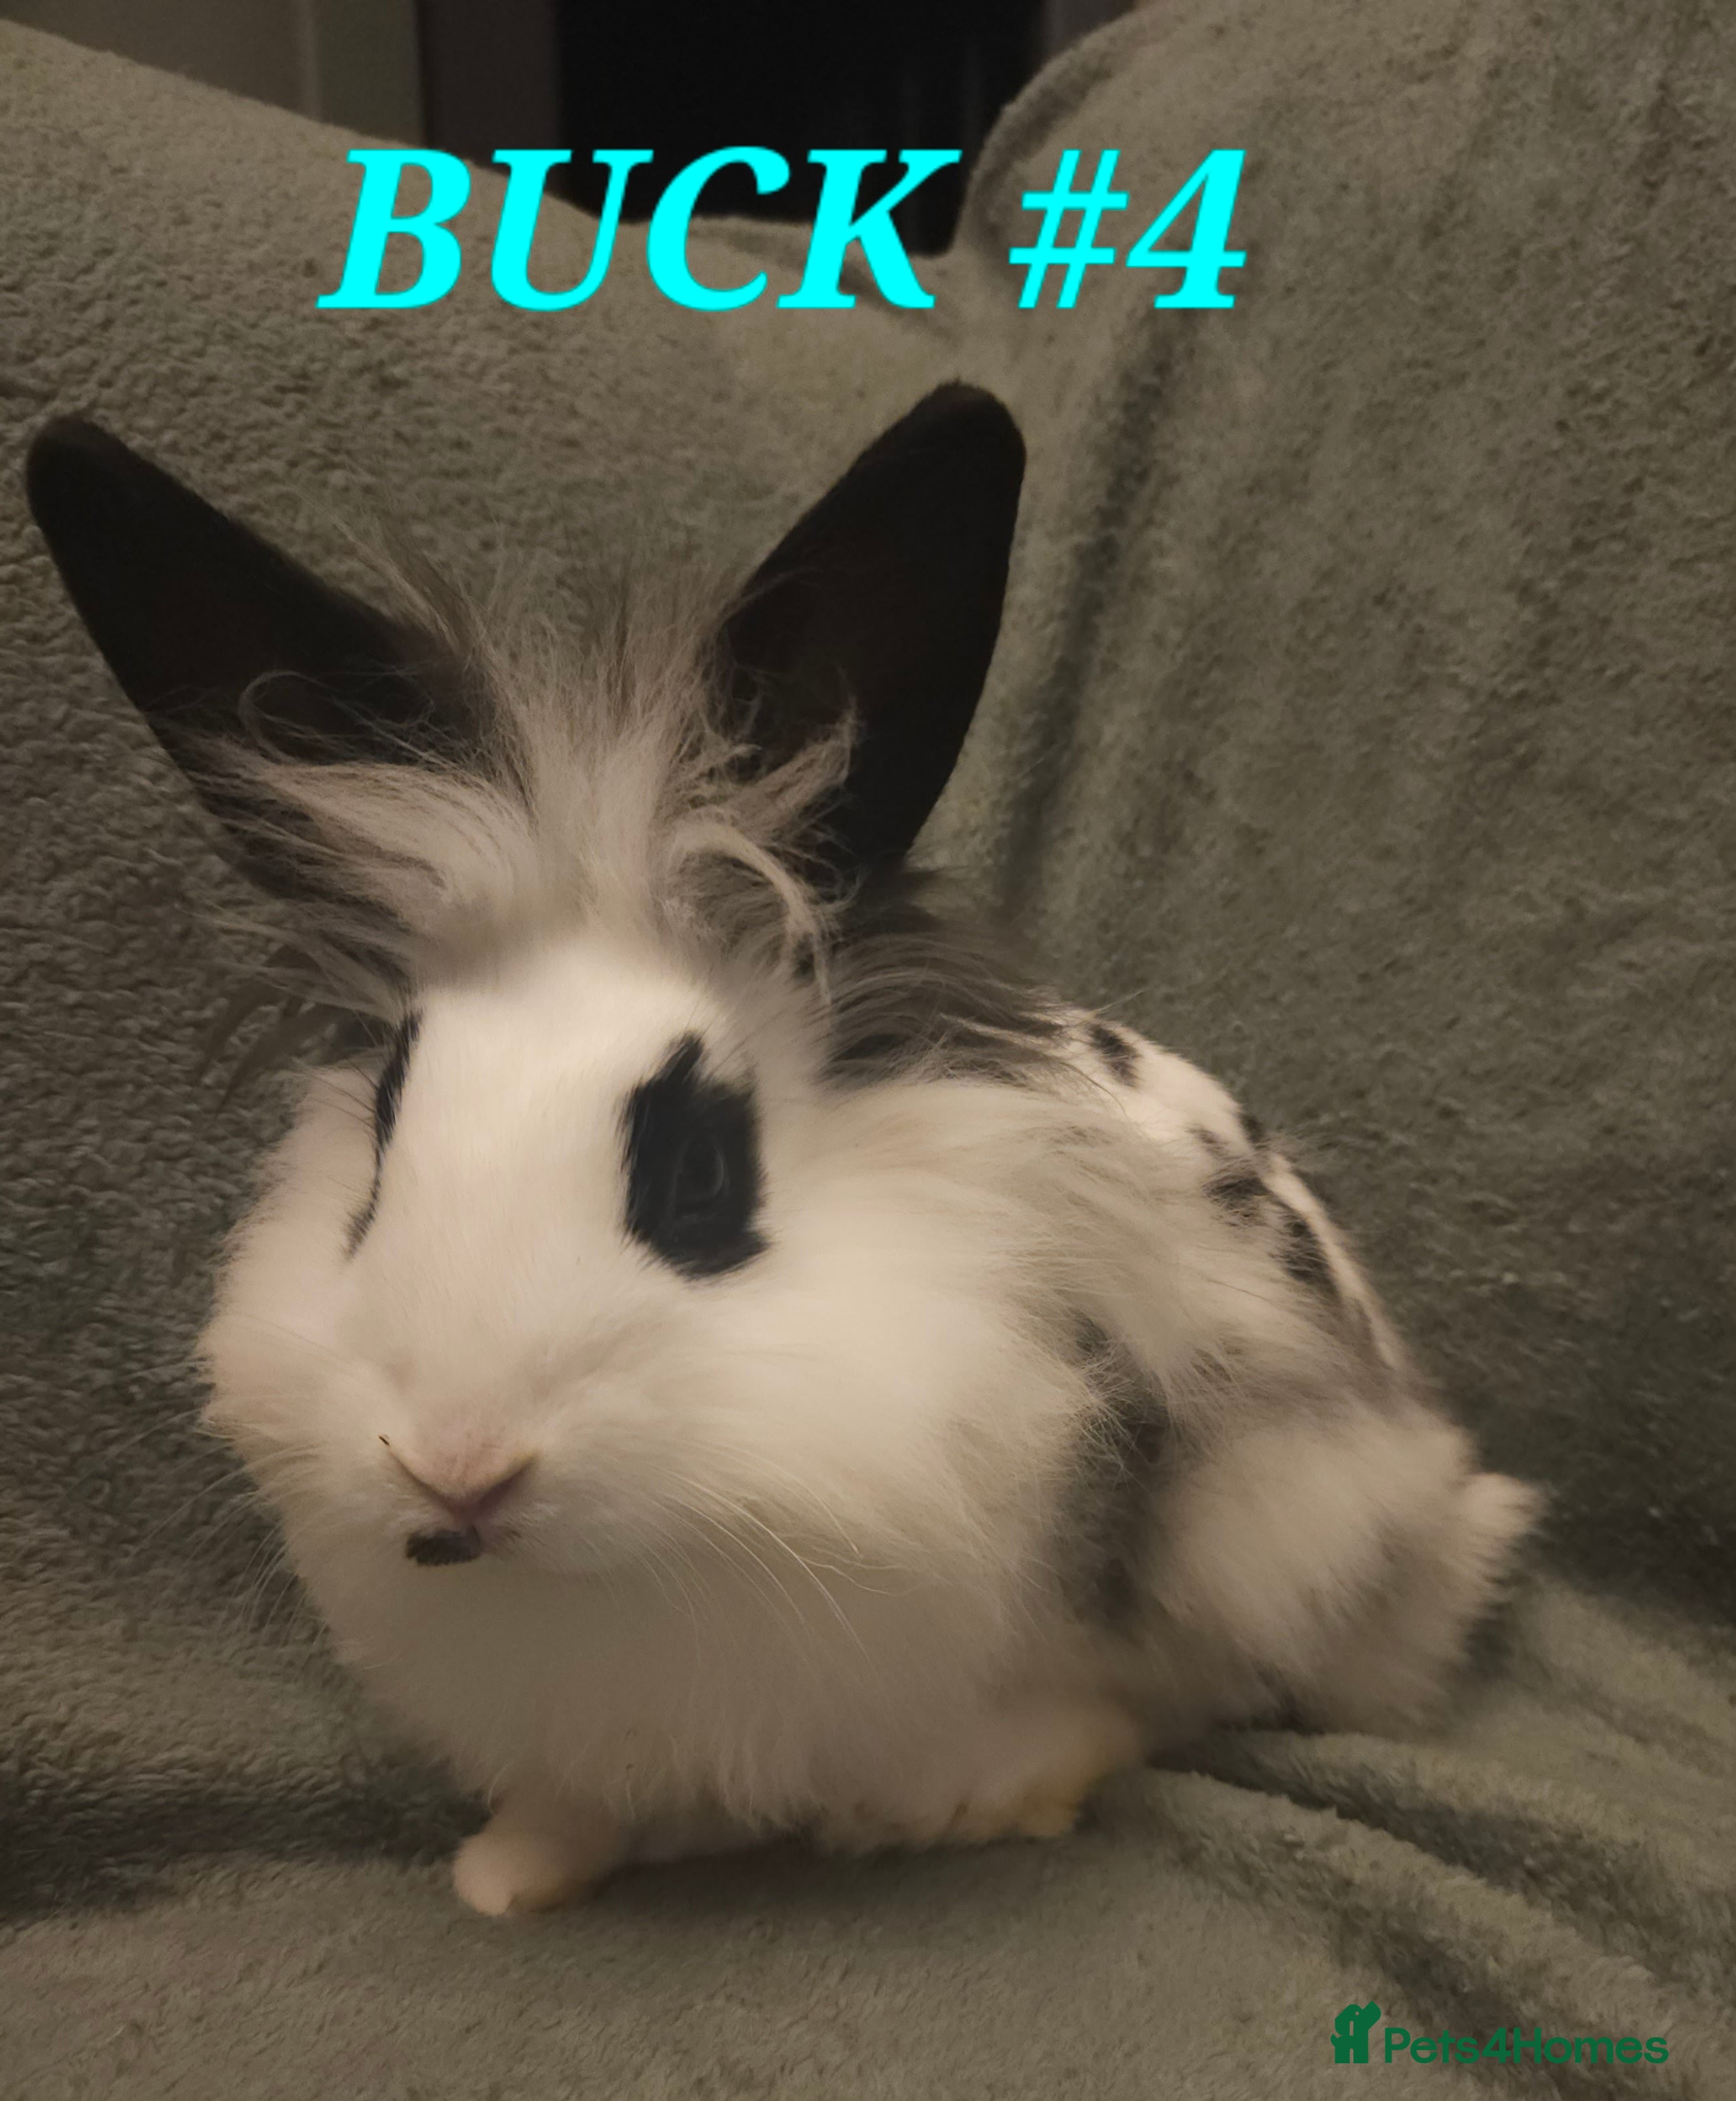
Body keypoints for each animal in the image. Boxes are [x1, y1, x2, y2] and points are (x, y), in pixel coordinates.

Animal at [26, 387, 1541, 1917]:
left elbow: (1099, 1704)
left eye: (701, 1173)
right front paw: (511, 1871)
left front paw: (949, 1803)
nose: (461, 1465)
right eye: (385, 1138)